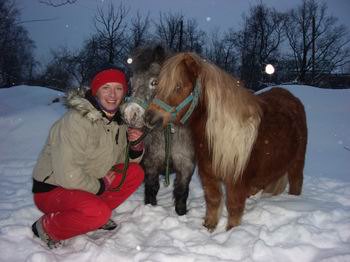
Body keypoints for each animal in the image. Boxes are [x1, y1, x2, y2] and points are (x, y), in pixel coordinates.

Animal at [144, 51, 306, 231]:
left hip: (297, 164)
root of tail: (291, 97)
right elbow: (213, 201)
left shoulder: (236, 181)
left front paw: (231, 232)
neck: (221, 135)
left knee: (296, 182)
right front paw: (209, 227)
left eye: (178, 86)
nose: (148, 117)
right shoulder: (208, 175)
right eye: (157, 84)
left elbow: (234, 207)